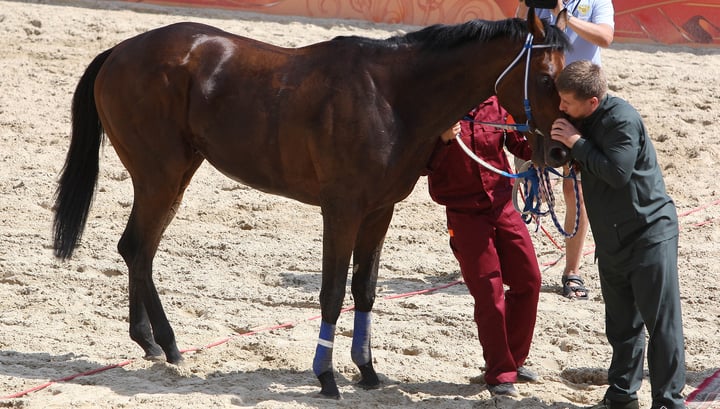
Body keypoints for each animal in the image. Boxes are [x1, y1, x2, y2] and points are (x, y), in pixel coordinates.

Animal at [53, 10, 572, 398]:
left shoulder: (379, 211)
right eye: (548, 79)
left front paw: (367, 370)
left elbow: (365, 289)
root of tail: (120, 51)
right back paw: (166, 342)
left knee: (137, 249)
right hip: (159, 176)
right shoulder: (341, 210)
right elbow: (333, 292)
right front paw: (325, 377)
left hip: (175, 176)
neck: (391, 97)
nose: (560, 152)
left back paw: (151, 342)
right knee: (137, 248)